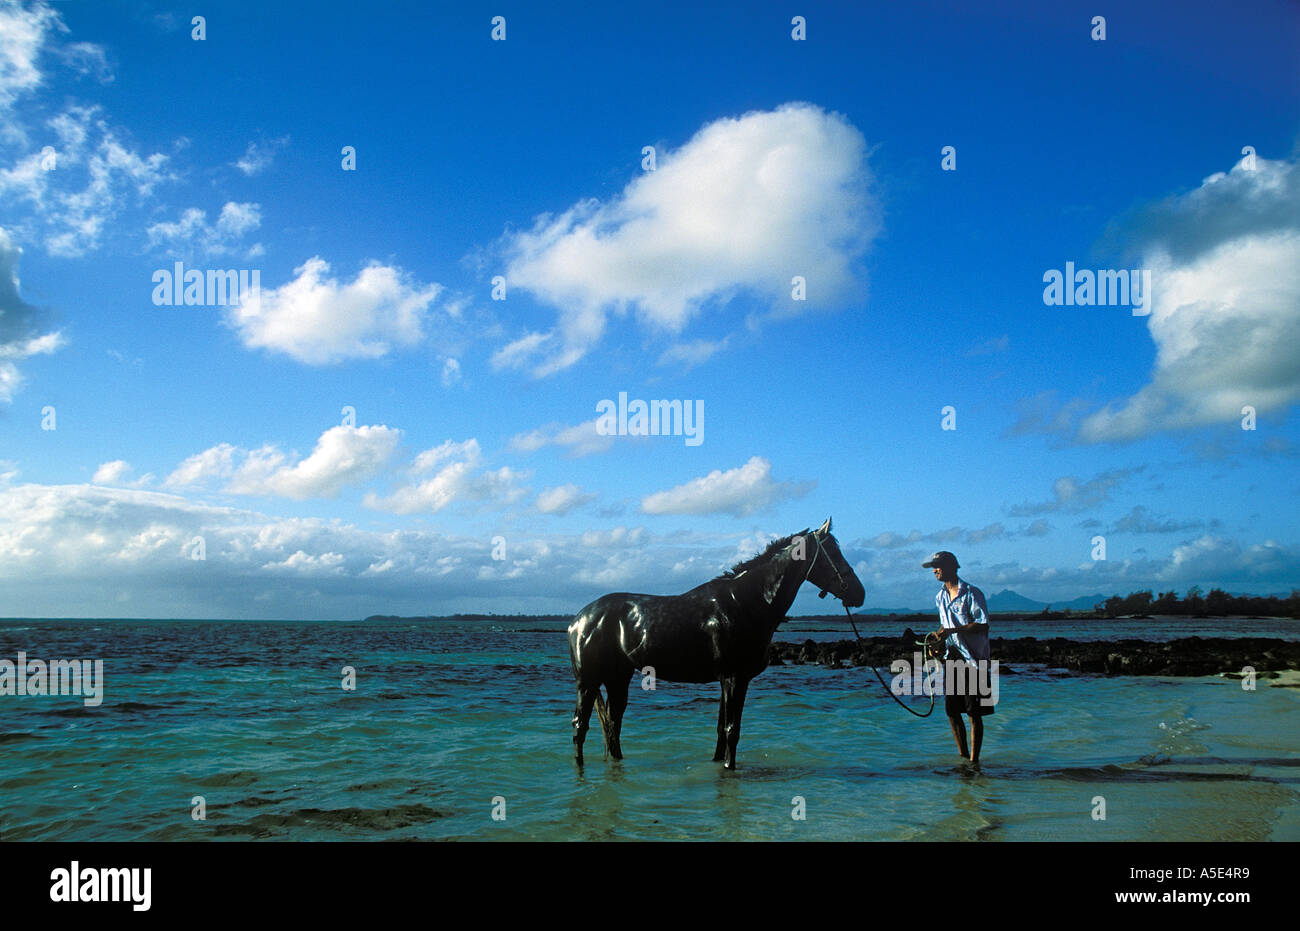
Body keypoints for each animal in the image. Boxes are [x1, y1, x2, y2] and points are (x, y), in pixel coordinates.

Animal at [567, 517, 865, 770]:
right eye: (833, 553)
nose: (859, 593)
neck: (746, 603)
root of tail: (579, 620)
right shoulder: (735, 679)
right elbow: (732, 731)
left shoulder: (727, 680)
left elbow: (722, 732)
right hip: (588, 682)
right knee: (580, 727)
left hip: (618, 678)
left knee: (613, 726)